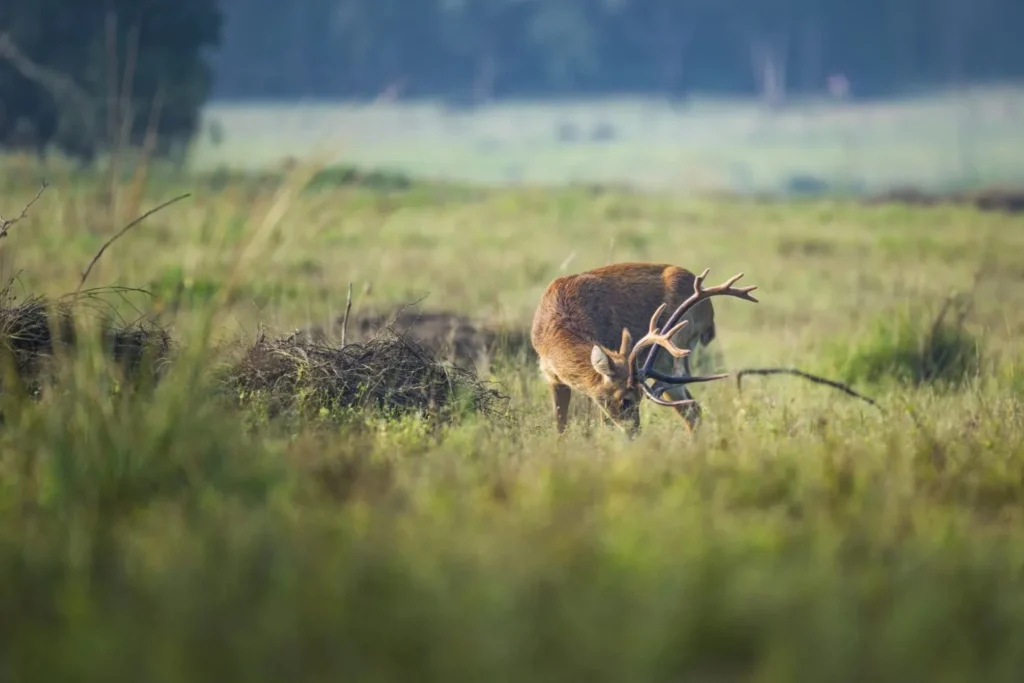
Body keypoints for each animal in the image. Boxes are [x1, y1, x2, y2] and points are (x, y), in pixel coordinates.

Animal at [530, 263, 759, 437]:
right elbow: (560, 428)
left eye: (638, 397)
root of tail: (709, 311)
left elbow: (604, 429)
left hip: (673, 351)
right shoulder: (553, 378)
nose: (635, 432)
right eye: (626, 400)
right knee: (693, 409)